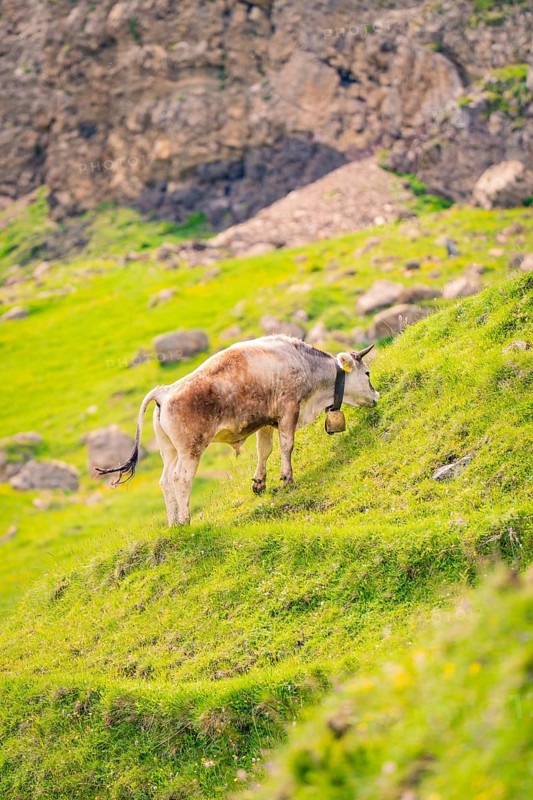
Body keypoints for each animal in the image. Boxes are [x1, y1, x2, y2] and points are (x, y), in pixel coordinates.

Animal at [97, 335, 379, 526]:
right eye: (367, 373)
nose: (376, 396)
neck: (304, 364)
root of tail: (164, 391)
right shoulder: (288, 411)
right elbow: (287, 445)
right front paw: (287, 478)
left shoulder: (267, 421)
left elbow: (265, 450)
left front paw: (259, 483)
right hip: (191, 449)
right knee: (180, 479)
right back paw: (186, 520)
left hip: (169, 451)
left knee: (165, 481)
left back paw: (173, 523)